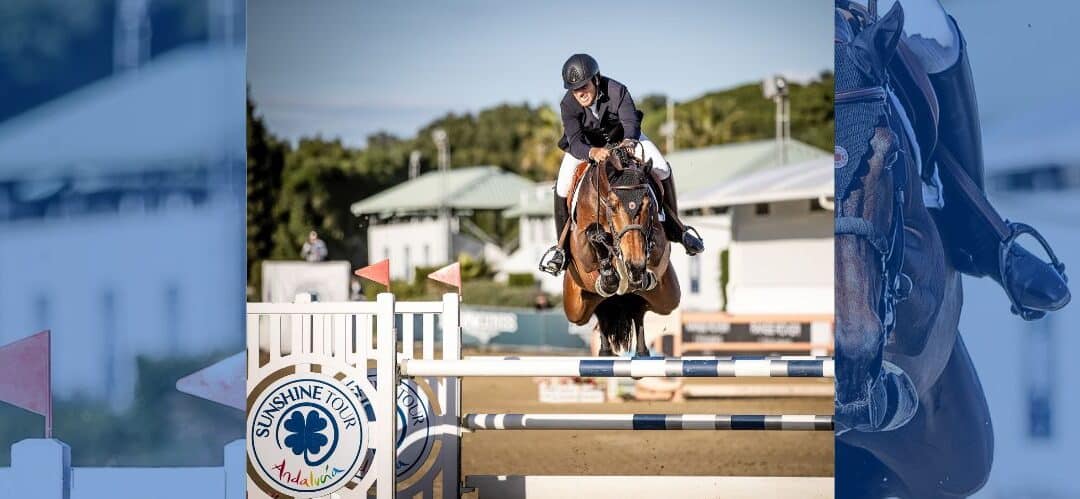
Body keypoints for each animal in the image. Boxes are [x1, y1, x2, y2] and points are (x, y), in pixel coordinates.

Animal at [561, 142, 678, 356]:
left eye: (648, 204)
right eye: (613, 205)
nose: (635, 265)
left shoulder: (660, 240)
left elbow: (654, 245)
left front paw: (640, 270)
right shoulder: (581, 253)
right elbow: (593, 236)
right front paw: (609, 275)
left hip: (668, 298)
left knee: (638, 311)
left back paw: (641, 351)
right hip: (576, 307)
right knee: (601, 312)